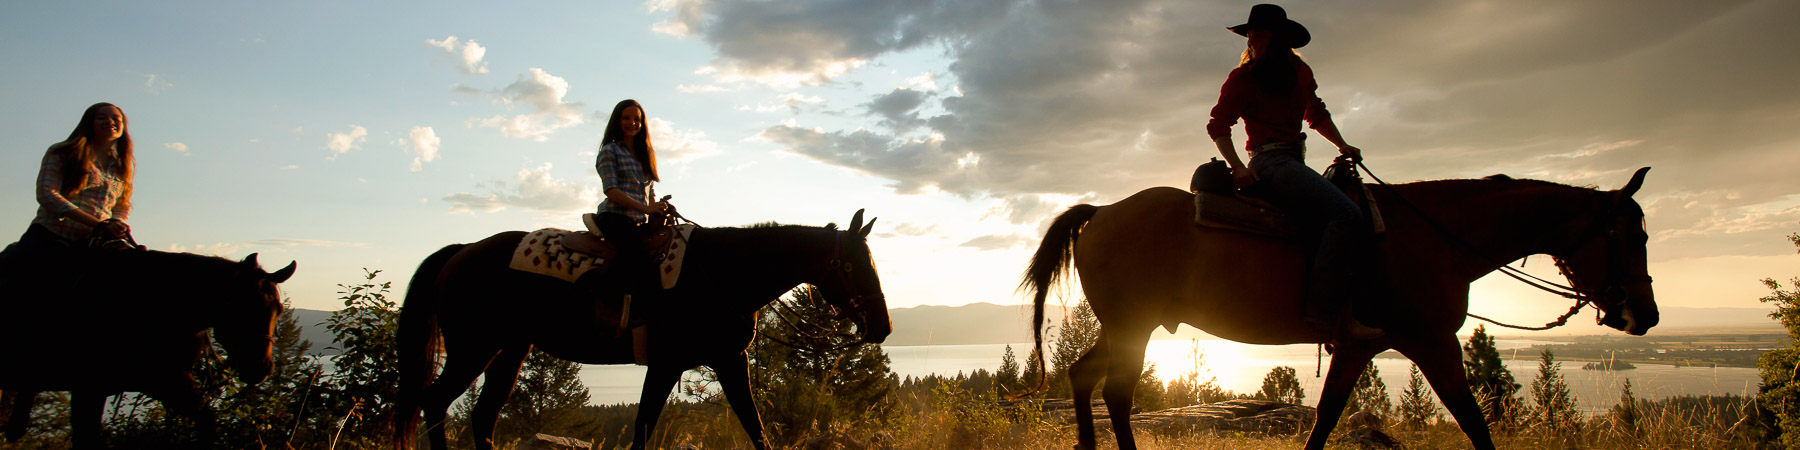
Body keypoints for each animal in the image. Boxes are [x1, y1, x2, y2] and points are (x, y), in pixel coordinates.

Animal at [0, 250, 295, 446]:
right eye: (239, 306)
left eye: (278, 311)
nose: (260, 368)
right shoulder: (87, 388)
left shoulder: (168, 382)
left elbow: (206, 422)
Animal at [399, 208, 892, 450]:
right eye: (857, 265)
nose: (884, 328)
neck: (721, 273)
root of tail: (461, 250)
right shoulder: (667, 363)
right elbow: (641, 430)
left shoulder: (728, 360)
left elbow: (755, 427)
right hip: (473, 348)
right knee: (436, 403)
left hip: (510, 350)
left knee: (482, 416)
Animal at [1029, 167, 1656, 448]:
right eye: (1632, 235)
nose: (1645, 315)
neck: (1431, 239)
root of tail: (1102, 212)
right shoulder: (1432, 341)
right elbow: (1472, 418)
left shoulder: (1359, 345)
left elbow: (1328, 415)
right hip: (1133, 326)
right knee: (1116, 392)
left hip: (1119, 325)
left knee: (1081, 376)